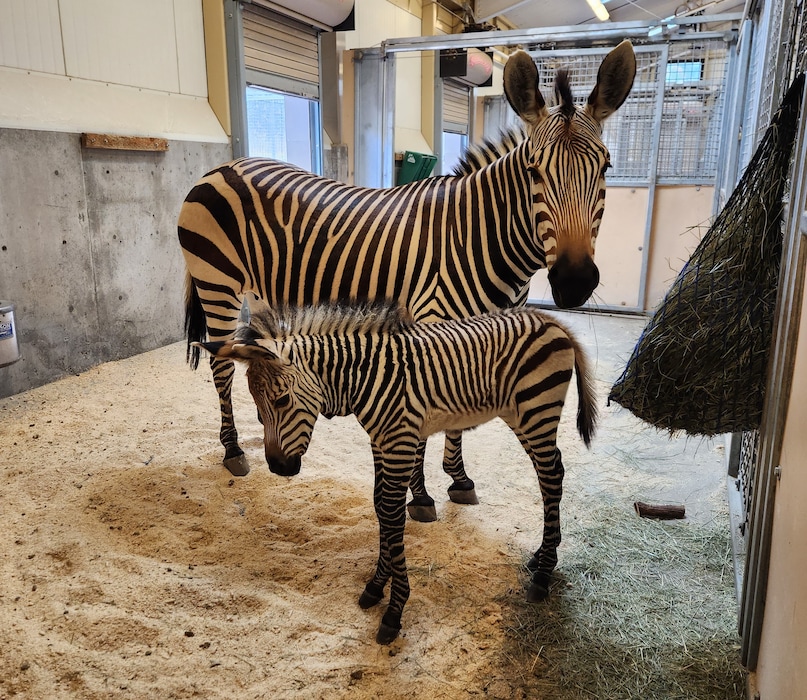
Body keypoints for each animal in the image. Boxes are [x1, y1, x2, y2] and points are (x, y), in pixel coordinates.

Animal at [179, 41, 634, 521]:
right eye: (533, 171)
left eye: (606, 167)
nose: (574, 281)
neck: (480, 235)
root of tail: (220, 167)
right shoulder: (432, 322)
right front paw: (420, 495)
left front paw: (458, 478)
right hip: (217, 282)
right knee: (220, 363)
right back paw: (232, 451)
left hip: (264, 290)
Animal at [197, 301, 597, 644]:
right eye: (257, 407)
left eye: (280, 401)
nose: (279, 468)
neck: (361, 379)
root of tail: (549, 319)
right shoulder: (380, 442)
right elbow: (379, 507)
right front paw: (377, 585)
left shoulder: (401, 440)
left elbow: (392, 512)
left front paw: (395, 607)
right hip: (521, 415)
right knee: (552, 474)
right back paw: (541, 556)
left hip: (536, 411)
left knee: (551, 476)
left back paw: (543, 574)